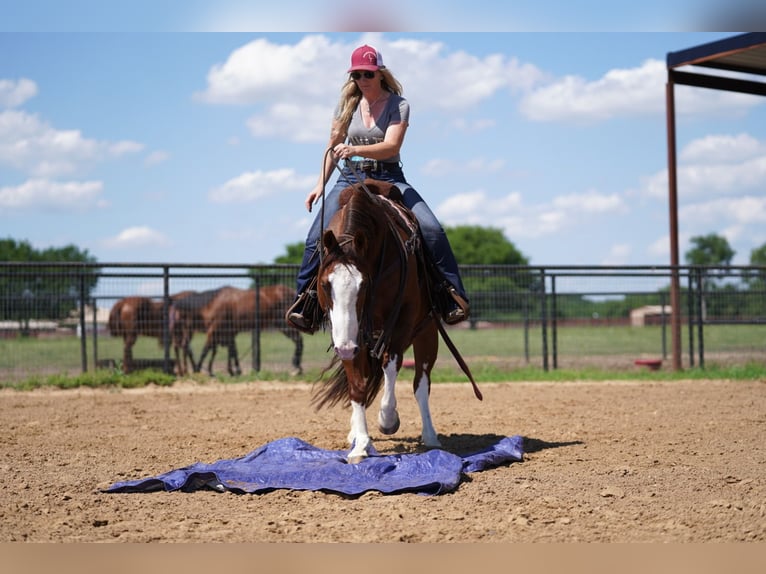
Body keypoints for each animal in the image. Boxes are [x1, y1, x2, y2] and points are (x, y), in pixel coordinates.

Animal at [316, 182, 476, 466]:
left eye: (363, 284)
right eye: (325, 285)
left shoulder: (403, 318)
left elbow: (391, 364)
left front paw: (388, 419)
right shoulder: (349, 333)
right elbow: (357, 382)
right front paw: (361, 445)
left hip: (427, 333)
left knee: (421, 383)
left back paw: (430, 436)